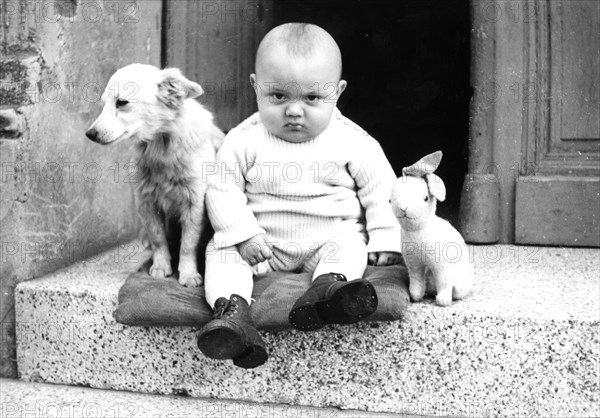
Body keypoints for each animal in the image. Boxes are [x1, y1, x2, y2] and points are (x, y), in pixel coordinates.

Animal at [85, 62, 224, 288]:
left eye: (121, 102)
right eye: (104, 104)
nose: (89, 134)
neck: (161, 146)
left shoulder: (194, 204)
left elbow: (188, 244)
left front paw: (188, 274)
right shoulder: (146, 201)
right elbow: (158, 238)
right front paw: (161, 266)